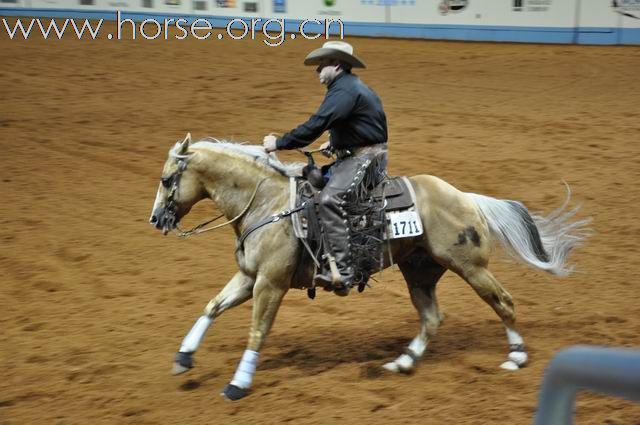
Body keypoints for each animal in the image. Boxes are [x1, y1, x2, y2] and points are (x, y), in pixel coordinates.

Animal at [150, 134, 592, 400]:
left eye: (168, 179)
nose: (156, 220)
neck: (268, 204)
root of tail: (465, 197)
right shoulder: (248, 278)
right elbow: (212, 307)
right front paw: (184, 357)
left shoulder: (269, 284)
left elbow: (257, 332)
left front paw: (238, 383)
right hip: (419, 271)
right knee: (432, 317)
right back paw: (404, 361)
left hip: (470, 266)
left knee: (503, 301)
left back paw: (516, 356)